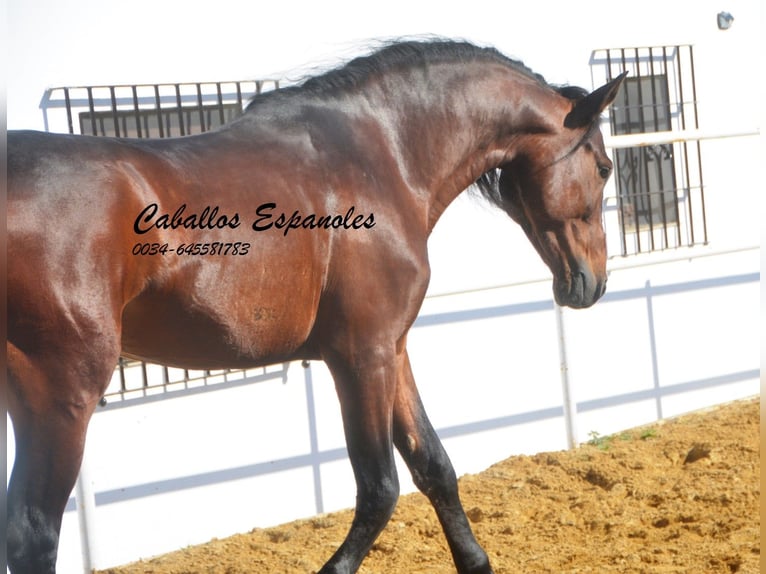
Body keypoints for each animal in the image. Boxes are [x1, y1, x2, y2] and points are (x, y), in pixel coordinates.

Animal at [6, 41, 628, 574]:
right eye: (603, 167)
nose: (591, 283)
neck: (381, 155)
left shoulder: (392, 349)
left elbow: (433, 465)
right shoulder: (360, 355)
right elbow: (380, 487)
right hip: (61, 398)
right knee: (33, 535)